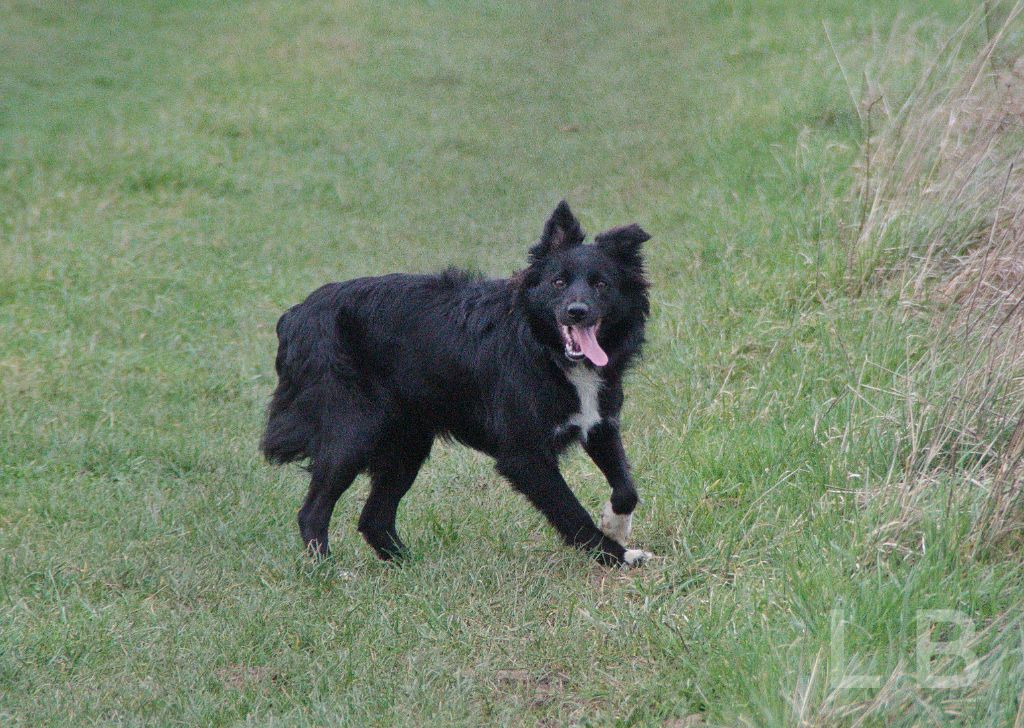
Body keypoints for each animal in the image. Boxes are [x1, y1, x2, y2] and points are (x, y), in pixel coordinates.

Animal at [260, 201, 651, 565]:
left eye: (601, 284)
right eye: (558, 282)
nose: (577, 311)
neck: (546, 350)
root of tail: (296, 315)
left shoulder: (599, 423)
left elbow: (626, 488)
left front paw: (616, 526)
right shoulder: (524, 454)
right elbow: (572, 513)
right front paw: (616, 555)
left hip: (408, 442)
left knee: (374, 519)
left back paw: (407, 566)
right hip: (351, 429)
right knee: (313, 511)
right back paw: (327, 570)